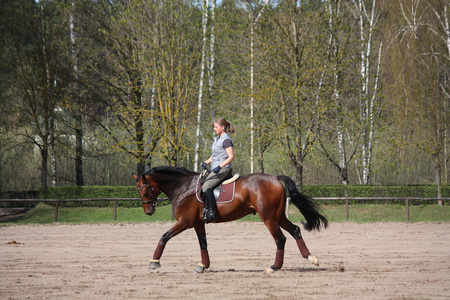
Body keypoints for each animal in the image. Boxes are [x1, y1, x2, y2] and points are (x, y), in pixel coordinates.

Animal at [132, 165, 328, 274]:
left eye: (145, 191)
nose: (148, 211)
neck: (183, 187)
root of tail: (274, 177)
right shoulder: (197, 224)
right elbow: (203, 244)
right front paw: (203, 265)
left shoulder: (184, 222)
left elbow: (164, 237)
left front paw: (154, 262)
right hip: (278, 216)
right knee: (295, 230)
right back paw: (311, 258)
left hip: (269, 218)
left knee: (280, 239)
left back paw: (273, 267)